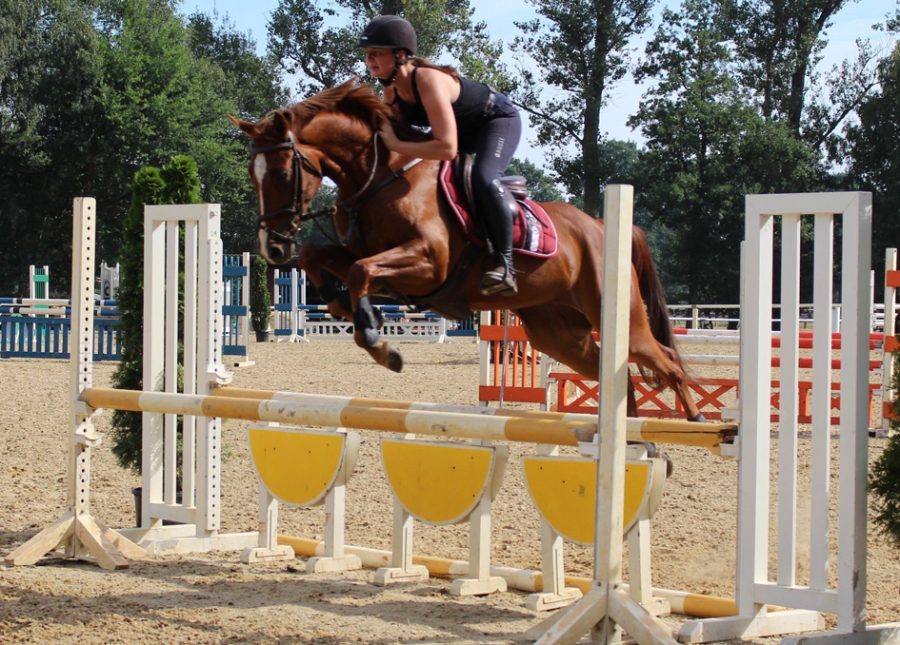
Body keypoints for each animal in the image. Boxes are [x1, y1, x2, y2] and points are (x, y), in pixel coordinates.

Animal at [229, 80, 706, 421]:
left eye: (281, 172)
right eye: (252, 174)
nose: (272, 248)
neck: (376, 178)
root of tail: (604, 227)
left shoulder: (429, 264)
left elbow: (361, 271)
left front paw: (381, 344)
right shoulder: (366, 257)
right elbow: (320, 257)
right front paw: (349, 310)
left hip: (620, 318)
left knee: (665, 359)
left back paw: (699, 423)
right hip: (557, 333)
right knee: (618, 375)